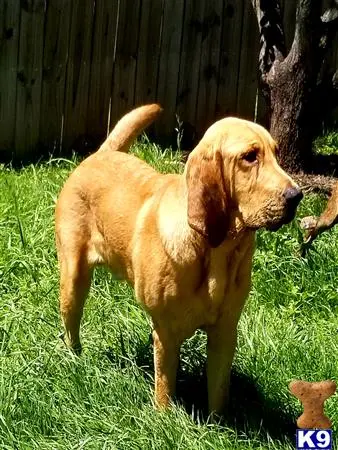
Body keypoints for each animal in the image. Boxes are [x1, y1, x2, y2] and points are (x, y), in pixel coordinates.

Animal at [54, 104, 302, 414]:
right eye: (250, 156)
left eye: (276, 153)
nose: (297, 196)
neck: (216, 250)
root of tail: (100, 155)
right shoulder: (166, 333)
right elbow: (164, 389)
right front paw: (163, 418)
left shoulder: (225, 332)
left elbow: (218, 393)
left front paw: (216, 422)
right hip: (73, 281)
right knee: (71, 327)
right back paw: (75, 359)